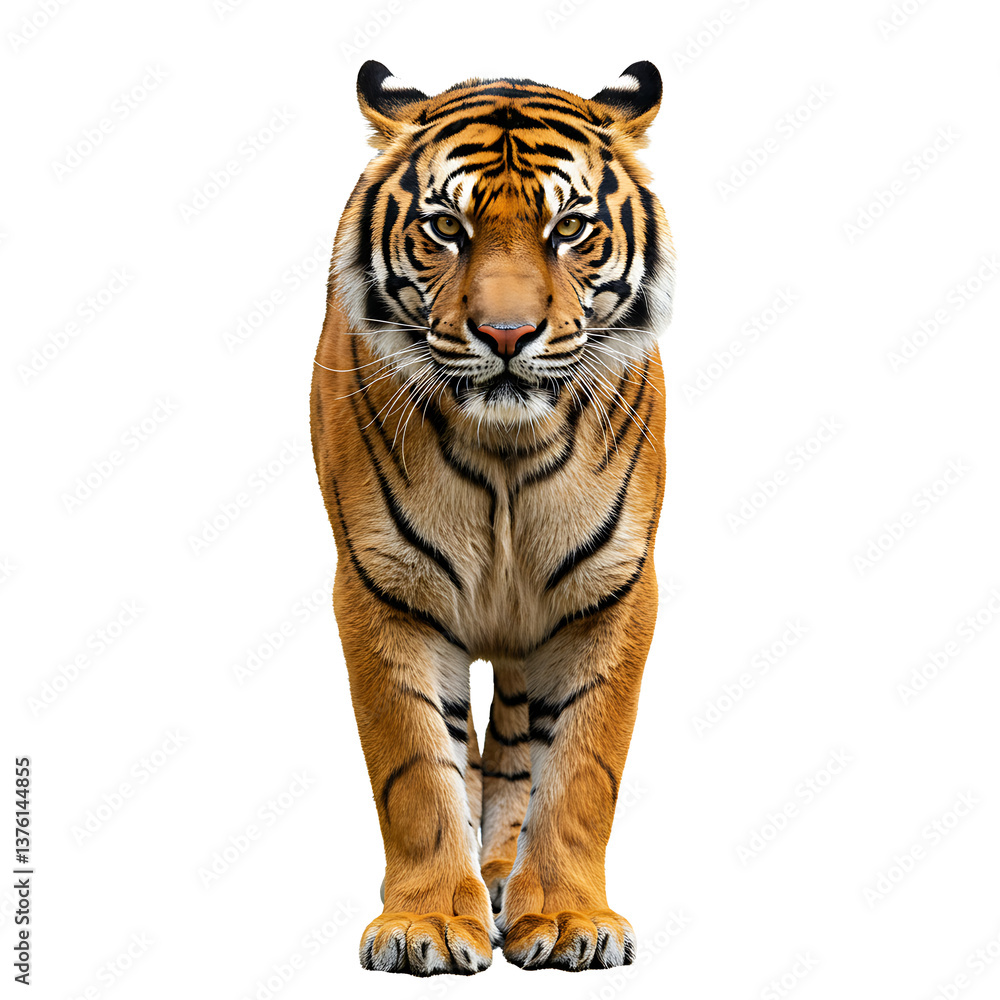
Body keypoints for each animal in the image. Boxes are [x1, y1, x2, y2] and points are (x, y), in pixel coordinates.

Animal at [309, 58, 674, 974]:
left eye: (570, 228)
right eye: (447, 226)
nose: (506, 334)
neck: (507, 450)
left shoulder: (611, 591)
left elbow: (579, 770)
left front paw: (571, 918)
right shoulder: (381, 587)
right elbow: (415, 768)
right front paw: (428, 923)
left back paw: (507, 873)